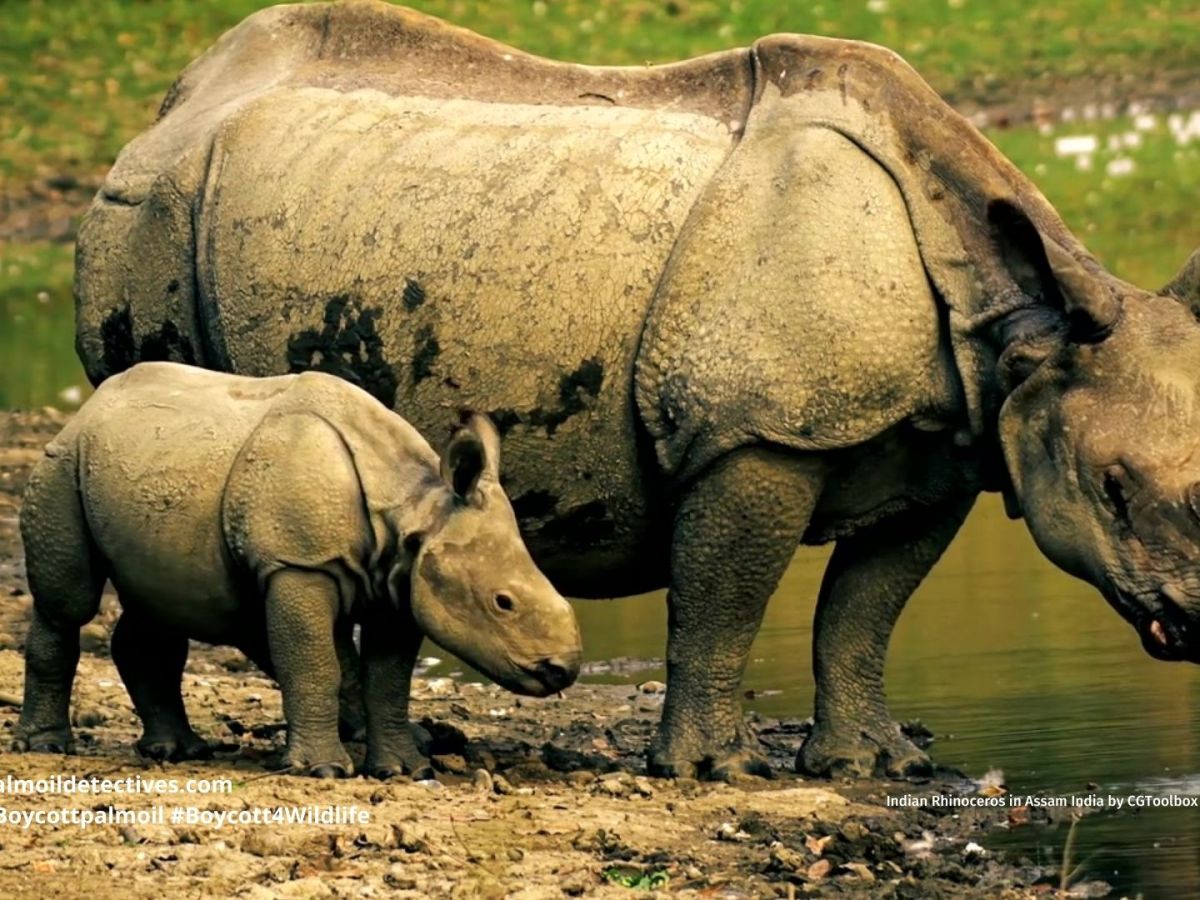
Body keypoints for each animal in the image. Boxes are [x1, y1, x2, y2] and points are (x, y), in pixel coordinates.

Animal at [14, 361, 581, 777]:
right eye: (503, 603)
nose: (562, 671)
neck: (412, 508)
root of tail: (92, 404)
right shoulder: (298, 564)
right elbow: (316, 664)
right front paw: (324, 770)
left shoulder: (401, 582)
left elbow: (387, 681)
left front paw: (404, 770)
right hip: (64, 460)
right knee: (68, 603)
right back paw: (47, 747)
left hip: (152, 465)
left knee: (160, 604)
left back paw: (177, 751)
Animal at [74, 0, 1200, 779]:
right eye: (1112, 490)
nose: (1194, 623)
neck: (1019, 331)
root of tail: (172, 106)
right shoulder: (754, 435)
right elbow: (724, 598)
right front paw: (713, 769)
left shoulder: (948, 442)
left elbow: (866, 607)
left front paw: (875, 765)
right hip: (153, 215)